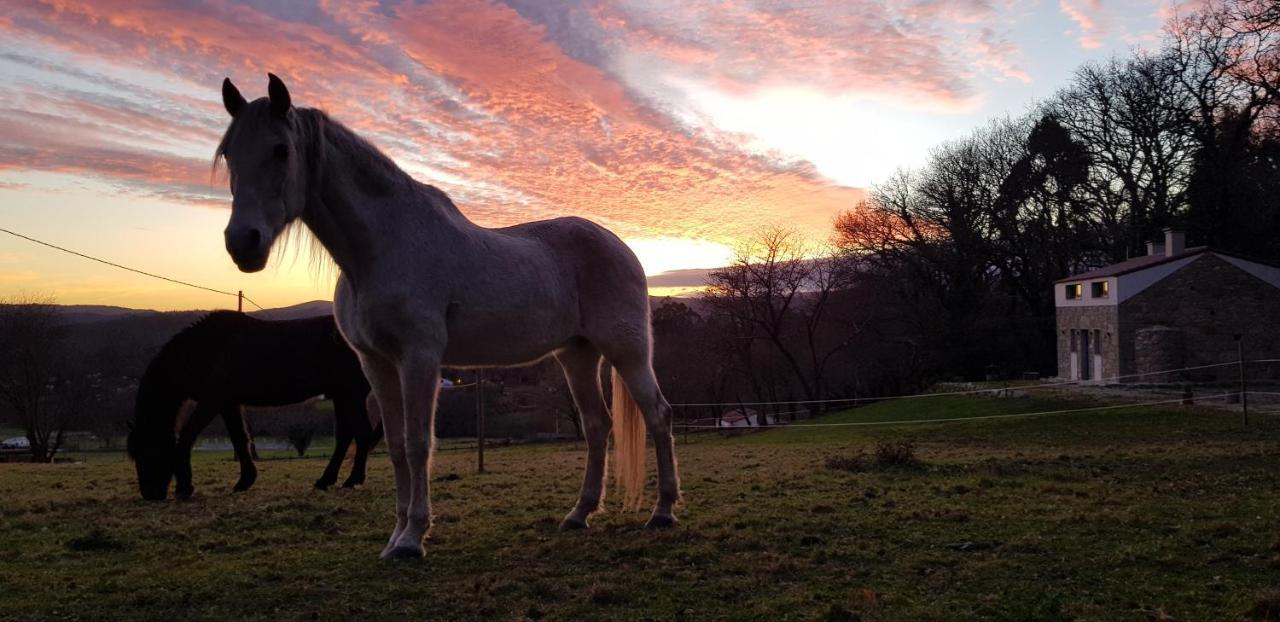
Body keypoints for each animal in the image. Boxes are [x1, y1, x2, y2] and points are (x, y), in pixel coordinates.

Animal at [127, 311, 381, 501]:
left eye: (149, 450)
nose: (150, 494)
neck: (204, 350)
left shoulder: (212, 402)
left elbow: (187, 437)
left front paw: (184, 487)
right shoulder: (228, 403)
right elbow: (239, 438)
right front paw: (245, 480)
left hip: (351, 395)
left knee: (361, 434)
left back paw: (352, 480)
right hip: (343, 396)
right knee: (346, 436)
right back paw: (326, 480)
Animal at [216, 74, 686, 558]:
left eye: (281, 149)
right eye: (229, 152)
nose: (243, 243)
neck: (380, 249)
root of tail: (621, 247)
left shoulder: (419, 358)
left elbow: (420, 443)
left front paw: (413, 538)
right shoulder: (377, 364)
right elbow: (396, 445)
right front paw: (395, 536)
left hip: (626, 350)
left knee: (658, 415)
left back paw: (663, 511)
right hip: (577, 355)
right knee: (597, 425)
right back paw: (579, 514)